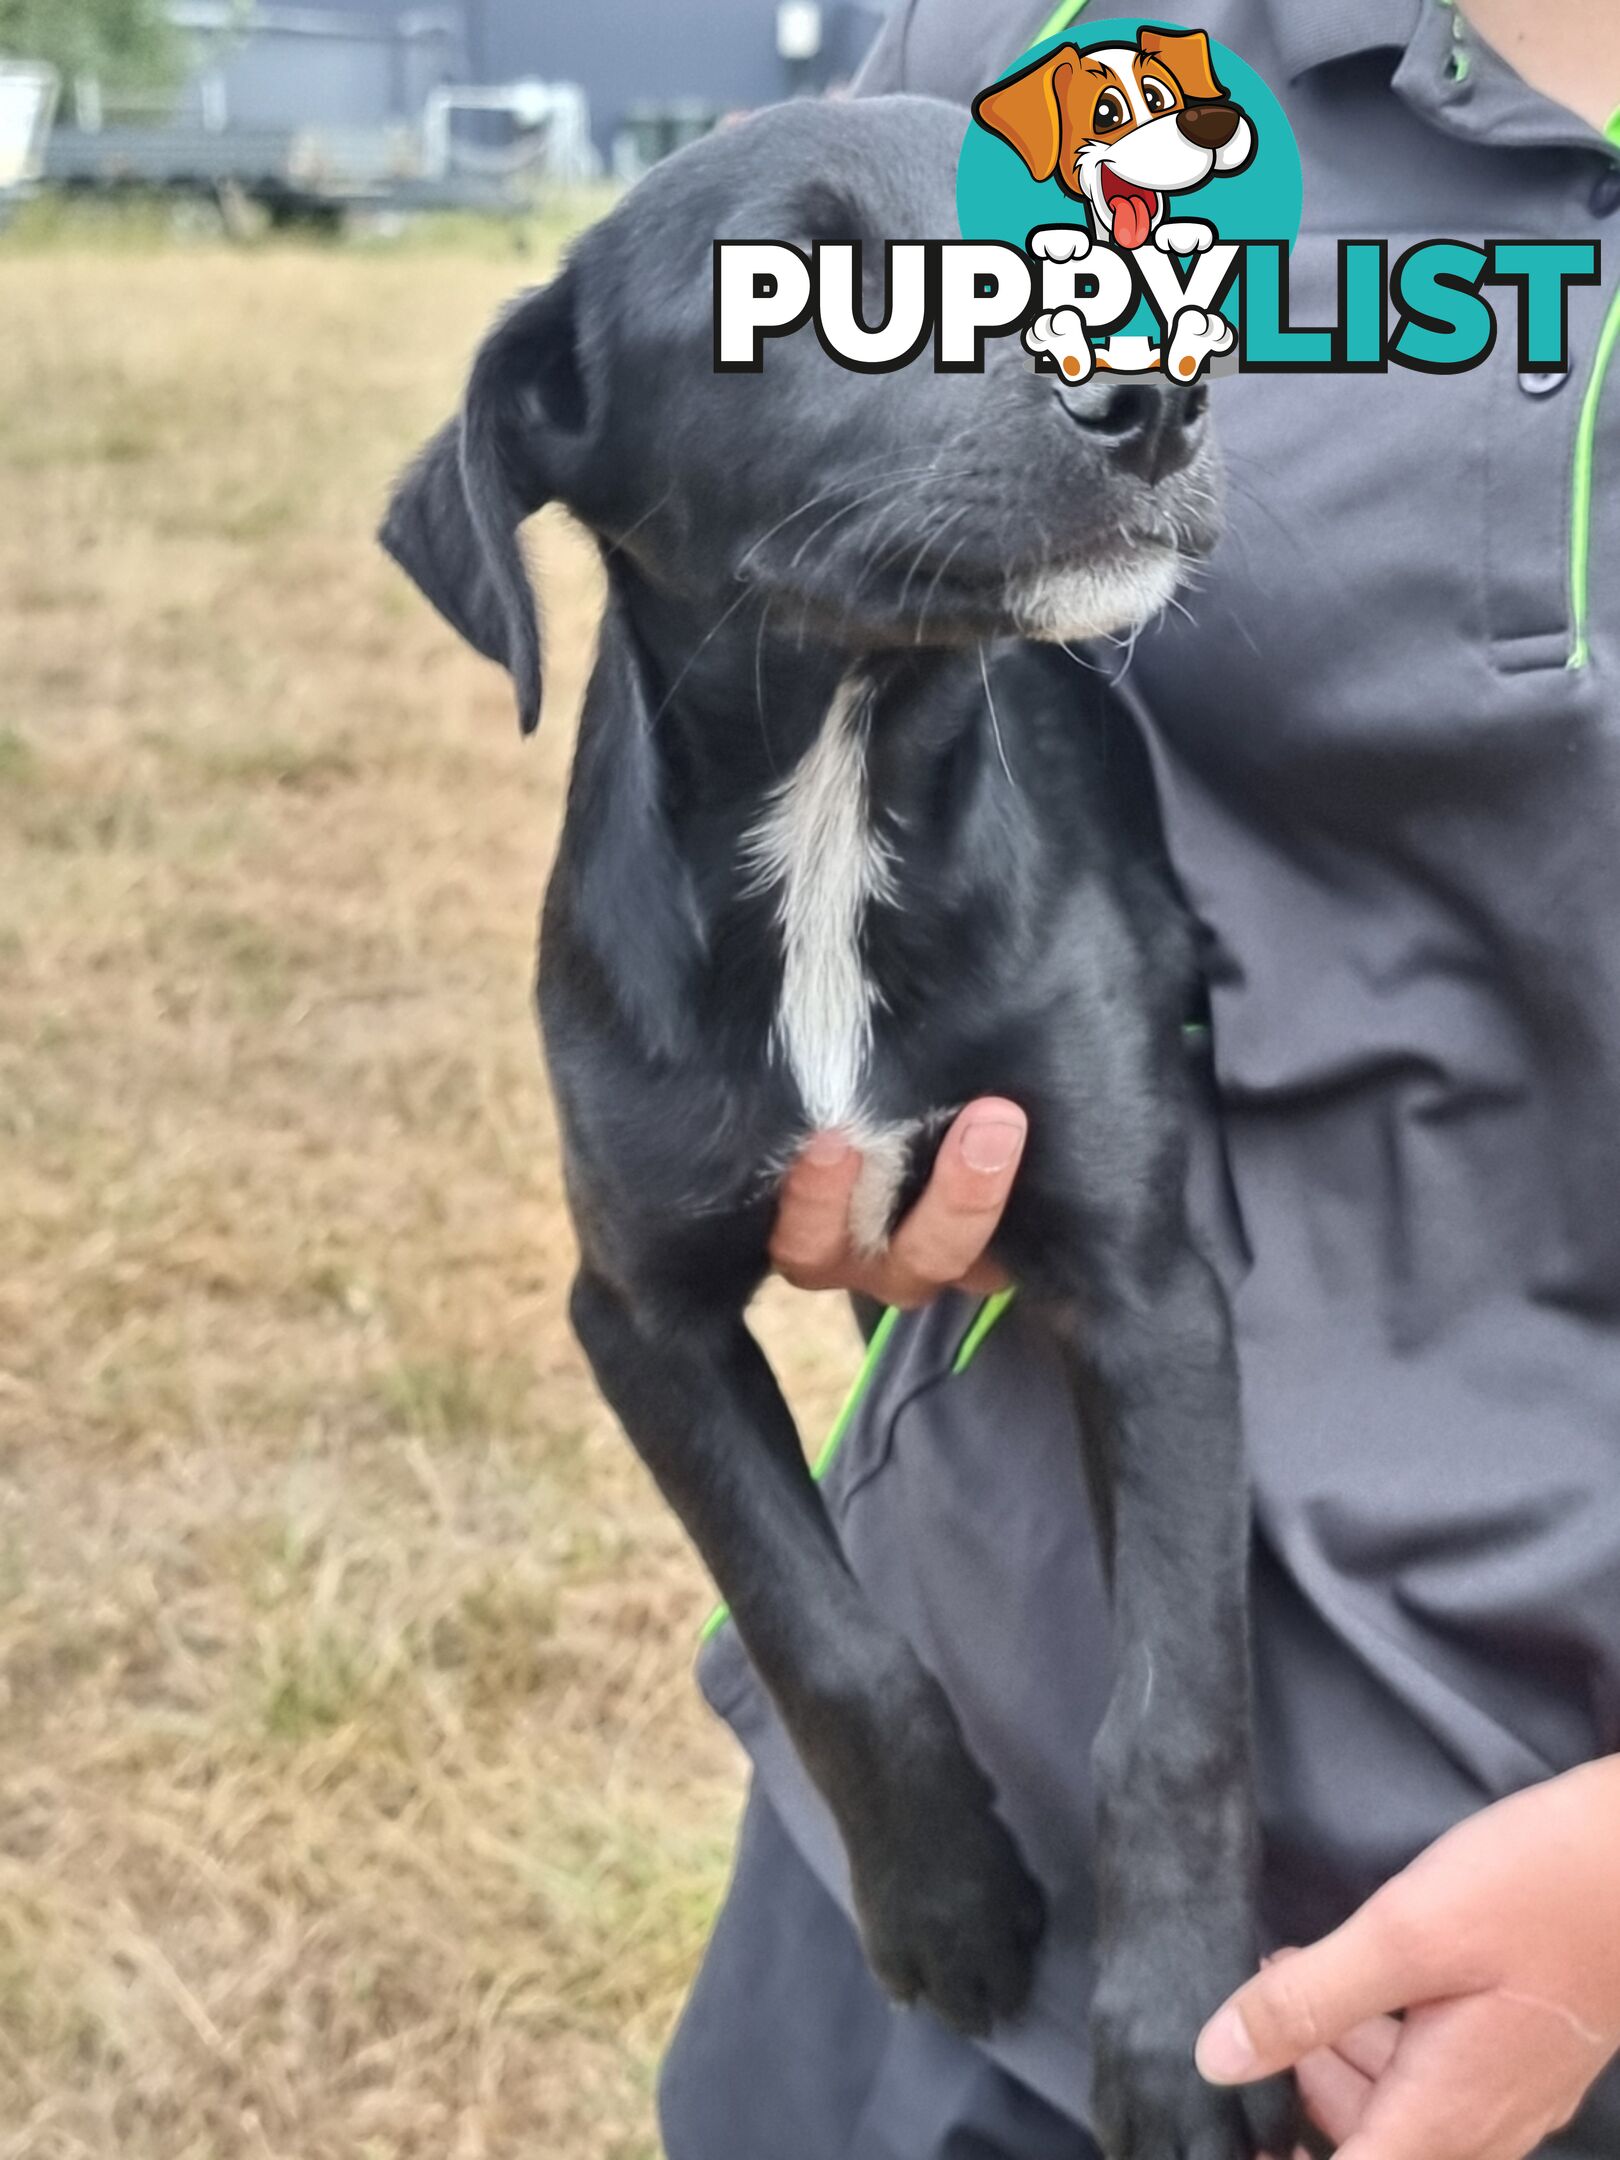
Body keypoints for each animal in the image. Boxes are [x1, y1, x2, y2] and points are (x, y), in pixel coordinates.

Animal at [384, 97, 1296, 2160]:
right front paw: (944, 1898)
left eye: (1068, 249)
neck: (839, 787)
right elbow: (821, 1626)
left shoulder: (1147, 1283)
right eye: (801, 291)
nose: (1157, 400)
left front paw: (1182, 2033)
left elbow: (1175, 1702)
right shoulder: (637, 1313)